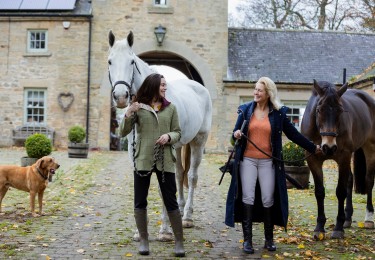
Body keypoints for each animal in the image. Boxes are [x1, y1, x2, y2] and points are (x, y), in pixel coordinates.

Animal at [107, 30, 213, 240]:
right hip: (178, 147)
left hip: (199, 142)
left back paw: (187, 217)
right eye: (109, 61)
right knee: (180, 175)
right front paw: (140, 231)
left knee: (192, 176)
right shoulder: (135, 153)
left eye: (132, 61)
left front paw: (164, 230)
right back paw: (178, 211)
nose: (121, 97)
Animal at [302, 80, 375, 239]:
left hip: (370, 148)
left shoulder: (343, 157)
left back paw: (368, 218)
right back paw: (348, 218)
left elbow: (340, 191)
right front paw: (319, 227)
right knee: (350, 180)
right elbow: (319, 192)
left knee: (369, 180)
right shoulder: (313, 160)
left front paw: (338, 228)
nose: (329, 147)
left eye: (340, 111)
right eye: (319, 110)